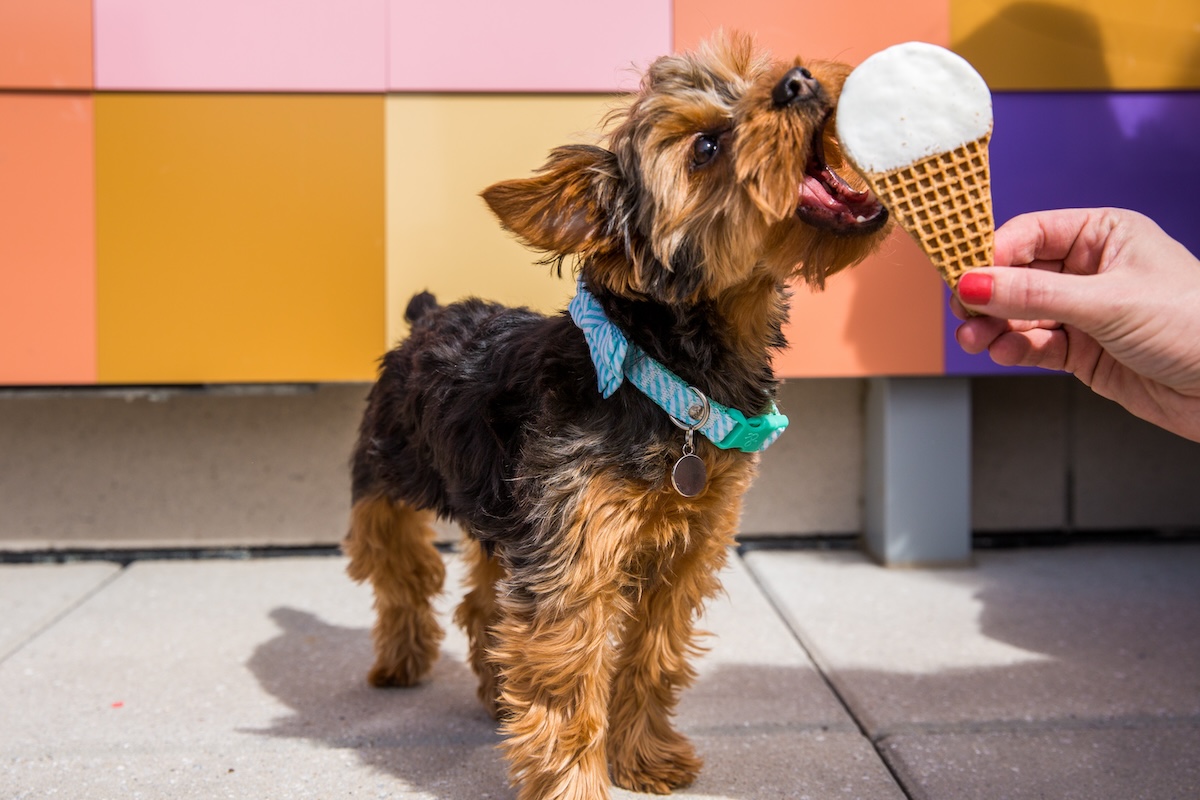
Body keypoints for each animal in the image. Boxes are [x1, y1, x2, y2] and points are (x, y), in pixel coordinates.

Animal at [343, 32, 888, 800]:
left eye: (754, 73)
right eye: (706, 147)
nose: (800, 80)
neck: (670, 378)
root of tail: (428, 316)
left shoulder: (683, 553)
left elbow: (652, 657)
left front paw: (643, 757)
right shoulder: (575, 556)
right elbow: (569, 680)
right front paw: (576, 783)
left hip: (508, 514)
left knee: (485, 603)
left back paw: (494, 693)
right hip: (387, 471)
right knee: (399, 568)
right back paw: (401, 658)